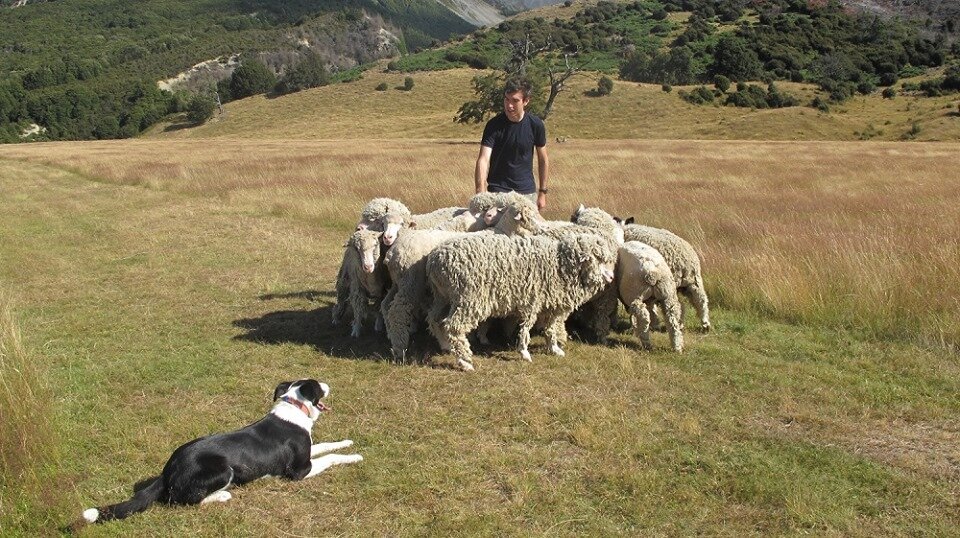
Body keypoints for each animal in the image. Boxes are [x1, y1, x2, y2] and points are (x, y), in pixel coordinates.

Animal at [425, 233, 617, 371]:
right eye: (597, 258)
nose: (611, 278)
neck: (560, 265)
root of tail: (435, 261)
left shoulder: (548, 305)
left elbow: (550, 328)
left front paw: (554, 348)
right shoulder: (532, 301)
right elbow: (527, 326)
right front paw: (524, 352)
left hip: (442, 296)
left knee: (435, 320)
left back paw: (446, 345)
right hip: (468, 299)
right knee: (453, 326)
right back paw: (464, 362)